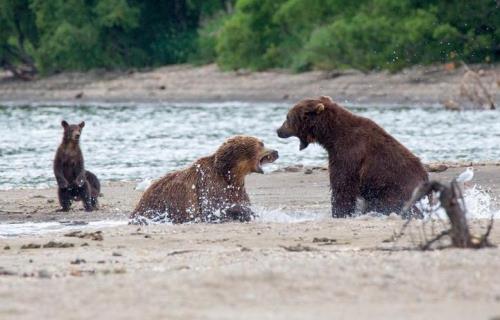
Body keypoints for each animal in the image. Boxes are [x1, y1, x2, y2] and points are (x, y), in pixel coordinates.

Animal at [278, 96, 426, 219]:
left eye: (287, 117)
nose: (278, 131)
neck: (332, 137)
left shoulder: (349, 153)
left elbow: (343, 185)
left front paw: (339, 213)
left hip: (394, 187)